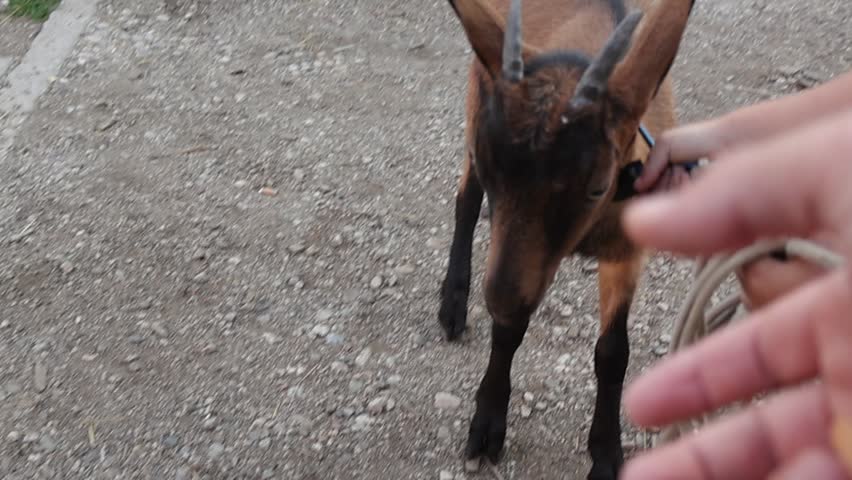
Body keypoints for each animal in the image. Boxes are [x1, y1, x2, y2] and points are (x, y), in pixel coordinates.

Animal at [438, 0, 694, 478]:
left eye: (597, 187)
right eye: (492, 168)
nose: (498, 300)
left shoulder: (625, 248)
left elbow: (613, 351)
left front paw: (607, 454)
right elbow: (510, 331)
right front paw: (487, 423)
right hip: (476, 90)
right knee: (466, 201)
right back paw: (453, 302)